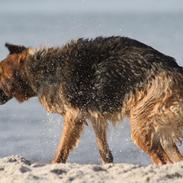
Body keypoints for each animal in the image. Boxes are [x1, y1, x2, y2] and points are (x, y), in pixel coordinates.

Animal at [0, 36, 183, 164]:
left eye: (0, 75)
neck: (45, 67)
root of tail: (177, 71)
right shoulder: (96, 117)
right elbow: (105, 153)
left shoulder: (74, 116)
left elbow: (61, 150)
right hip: (161, 132)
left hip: (140, 125)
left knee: (161, 160)